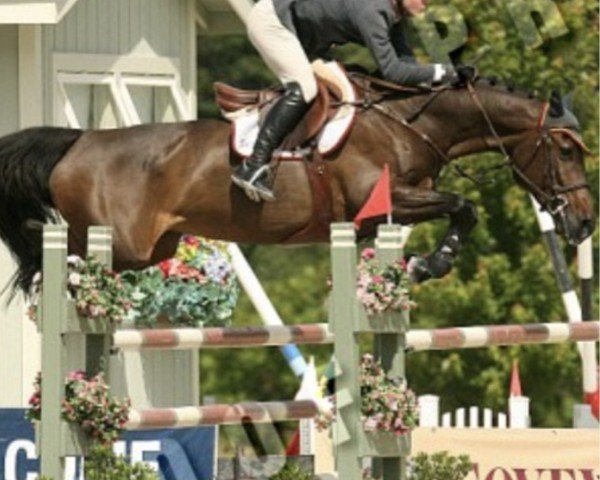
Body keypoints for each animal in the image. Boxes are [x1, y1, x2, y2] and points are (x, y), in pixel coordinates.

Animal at [0, 74, 592, 296]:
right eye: (565, 151)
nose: (584, 223)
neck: (407, 123)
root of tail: (78, 141)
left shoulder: (375, 217)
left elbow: (457, 211)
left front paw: (420, 265)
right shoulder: (383, 199)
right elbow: (465, 206)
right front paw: (432, 264)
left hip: (151, 248)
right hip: (121, 244)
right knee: (56, 254)